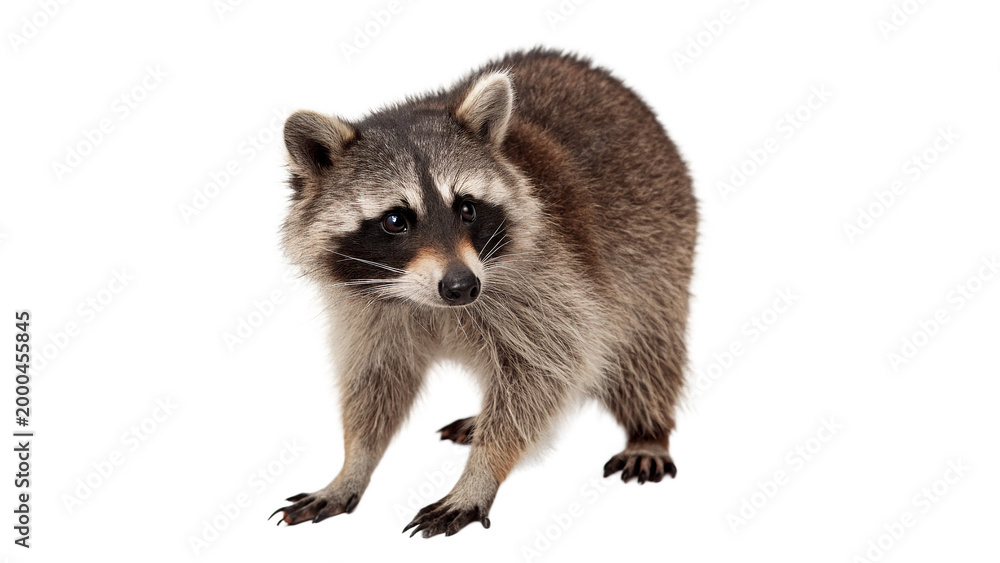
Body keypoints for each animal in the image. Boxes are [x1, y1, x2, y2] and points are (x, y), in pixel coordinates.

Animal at [271, 49, 697, 537]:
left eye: (467, 208)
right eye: (396, 220)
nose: (462, 286)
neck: (429, 302)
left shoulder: (551, 278)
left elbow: (545, 371)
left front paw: (480, 473)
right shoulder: (365, 305)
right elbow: (376, 378)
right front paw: (353, 463)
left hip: (657, 248)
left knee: (647, 348)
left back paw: (649, 429)